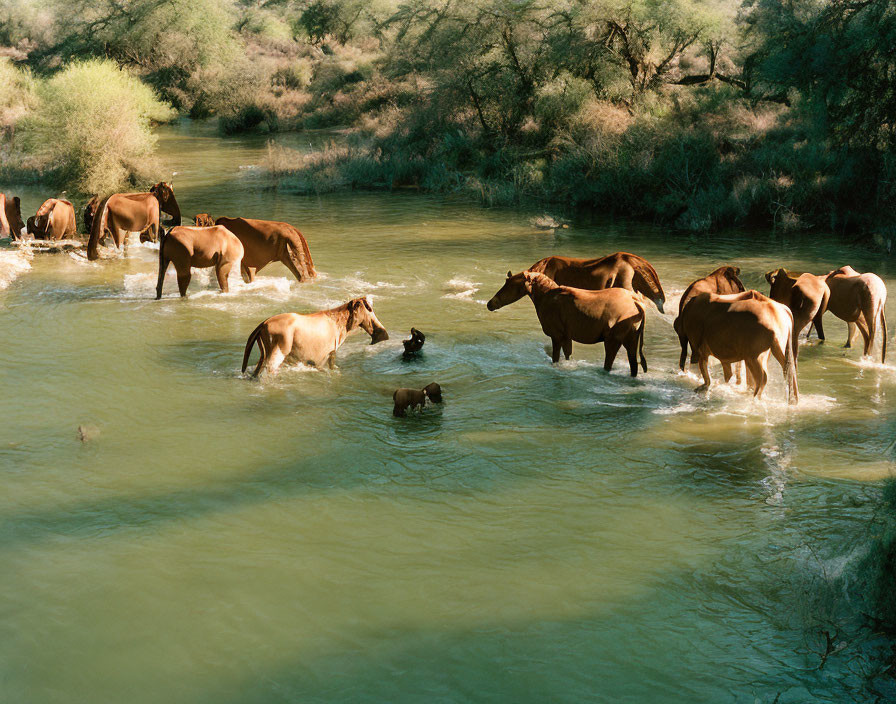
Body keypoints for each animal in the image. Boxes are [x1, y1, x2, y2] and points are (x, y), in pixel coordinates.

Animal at [242, 296, 388, 376]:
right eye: (369, 309)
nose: (382, 335)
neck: (341, 324)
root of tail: (262, 324)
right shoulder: (329, 352)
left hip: (264, 351)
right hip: (279, 349)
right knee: (269, 370)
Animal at [490, 270, 644, 374]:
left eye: (510, 284)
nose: (490, 304)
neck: (542, 298)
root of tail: (637, 304)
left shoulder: (557, 335)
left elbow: (555, 358)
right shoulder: (566, 336)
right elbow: (568, 356)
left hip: (613, 340)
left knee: (609, 364)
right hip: (631, 340)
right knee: (634, 366)